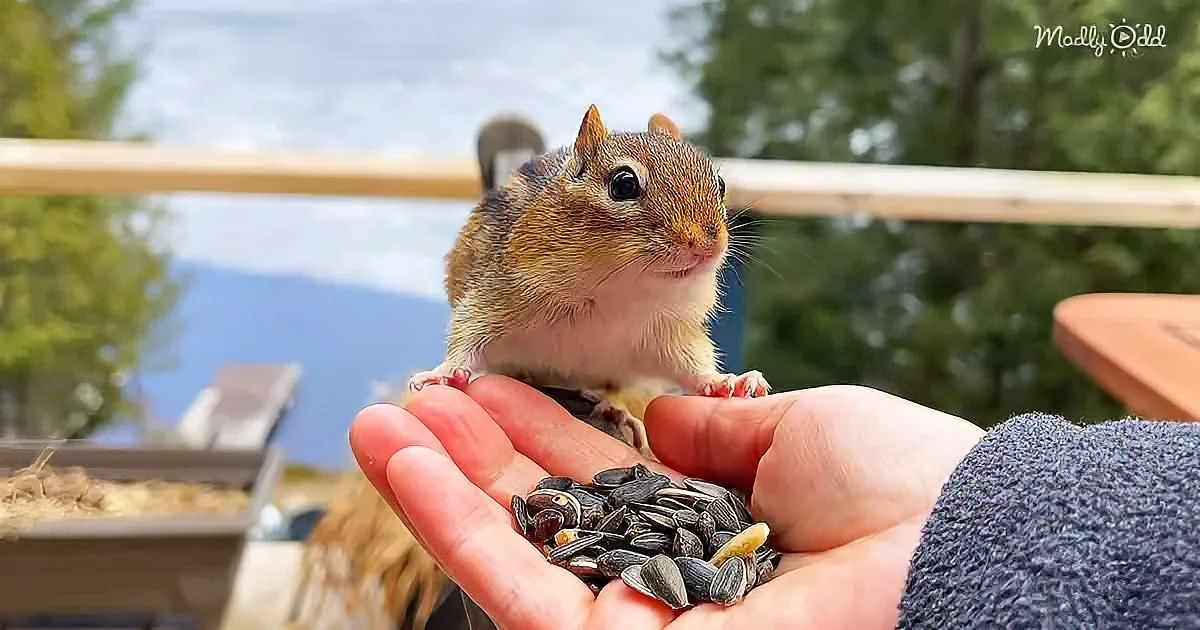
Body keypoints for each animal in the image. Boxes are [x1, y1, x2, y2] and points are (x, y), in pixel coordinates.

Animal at [408, 104, 770, 456]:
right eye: (624, 184)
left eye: (720, 184)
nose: (709, 245)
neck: (618, 292)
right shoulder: (493, 296)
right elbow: (468, 336)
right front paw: (442, 373)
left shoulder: (669, 334)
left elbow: (693, 365)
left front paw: (727, 382)